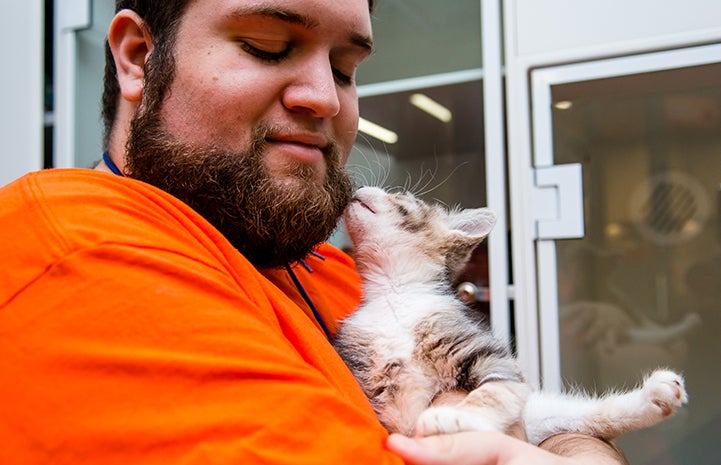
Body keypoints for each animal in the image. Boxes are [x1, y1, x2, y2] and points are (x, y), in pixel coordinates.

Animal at [334, 187, 688, 444]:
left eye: (400, 197)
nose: (361, 187)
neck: (393, 294)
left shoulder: (482, 353)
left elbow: (499, 390)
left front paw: (458, 417)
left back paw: (655, 396)